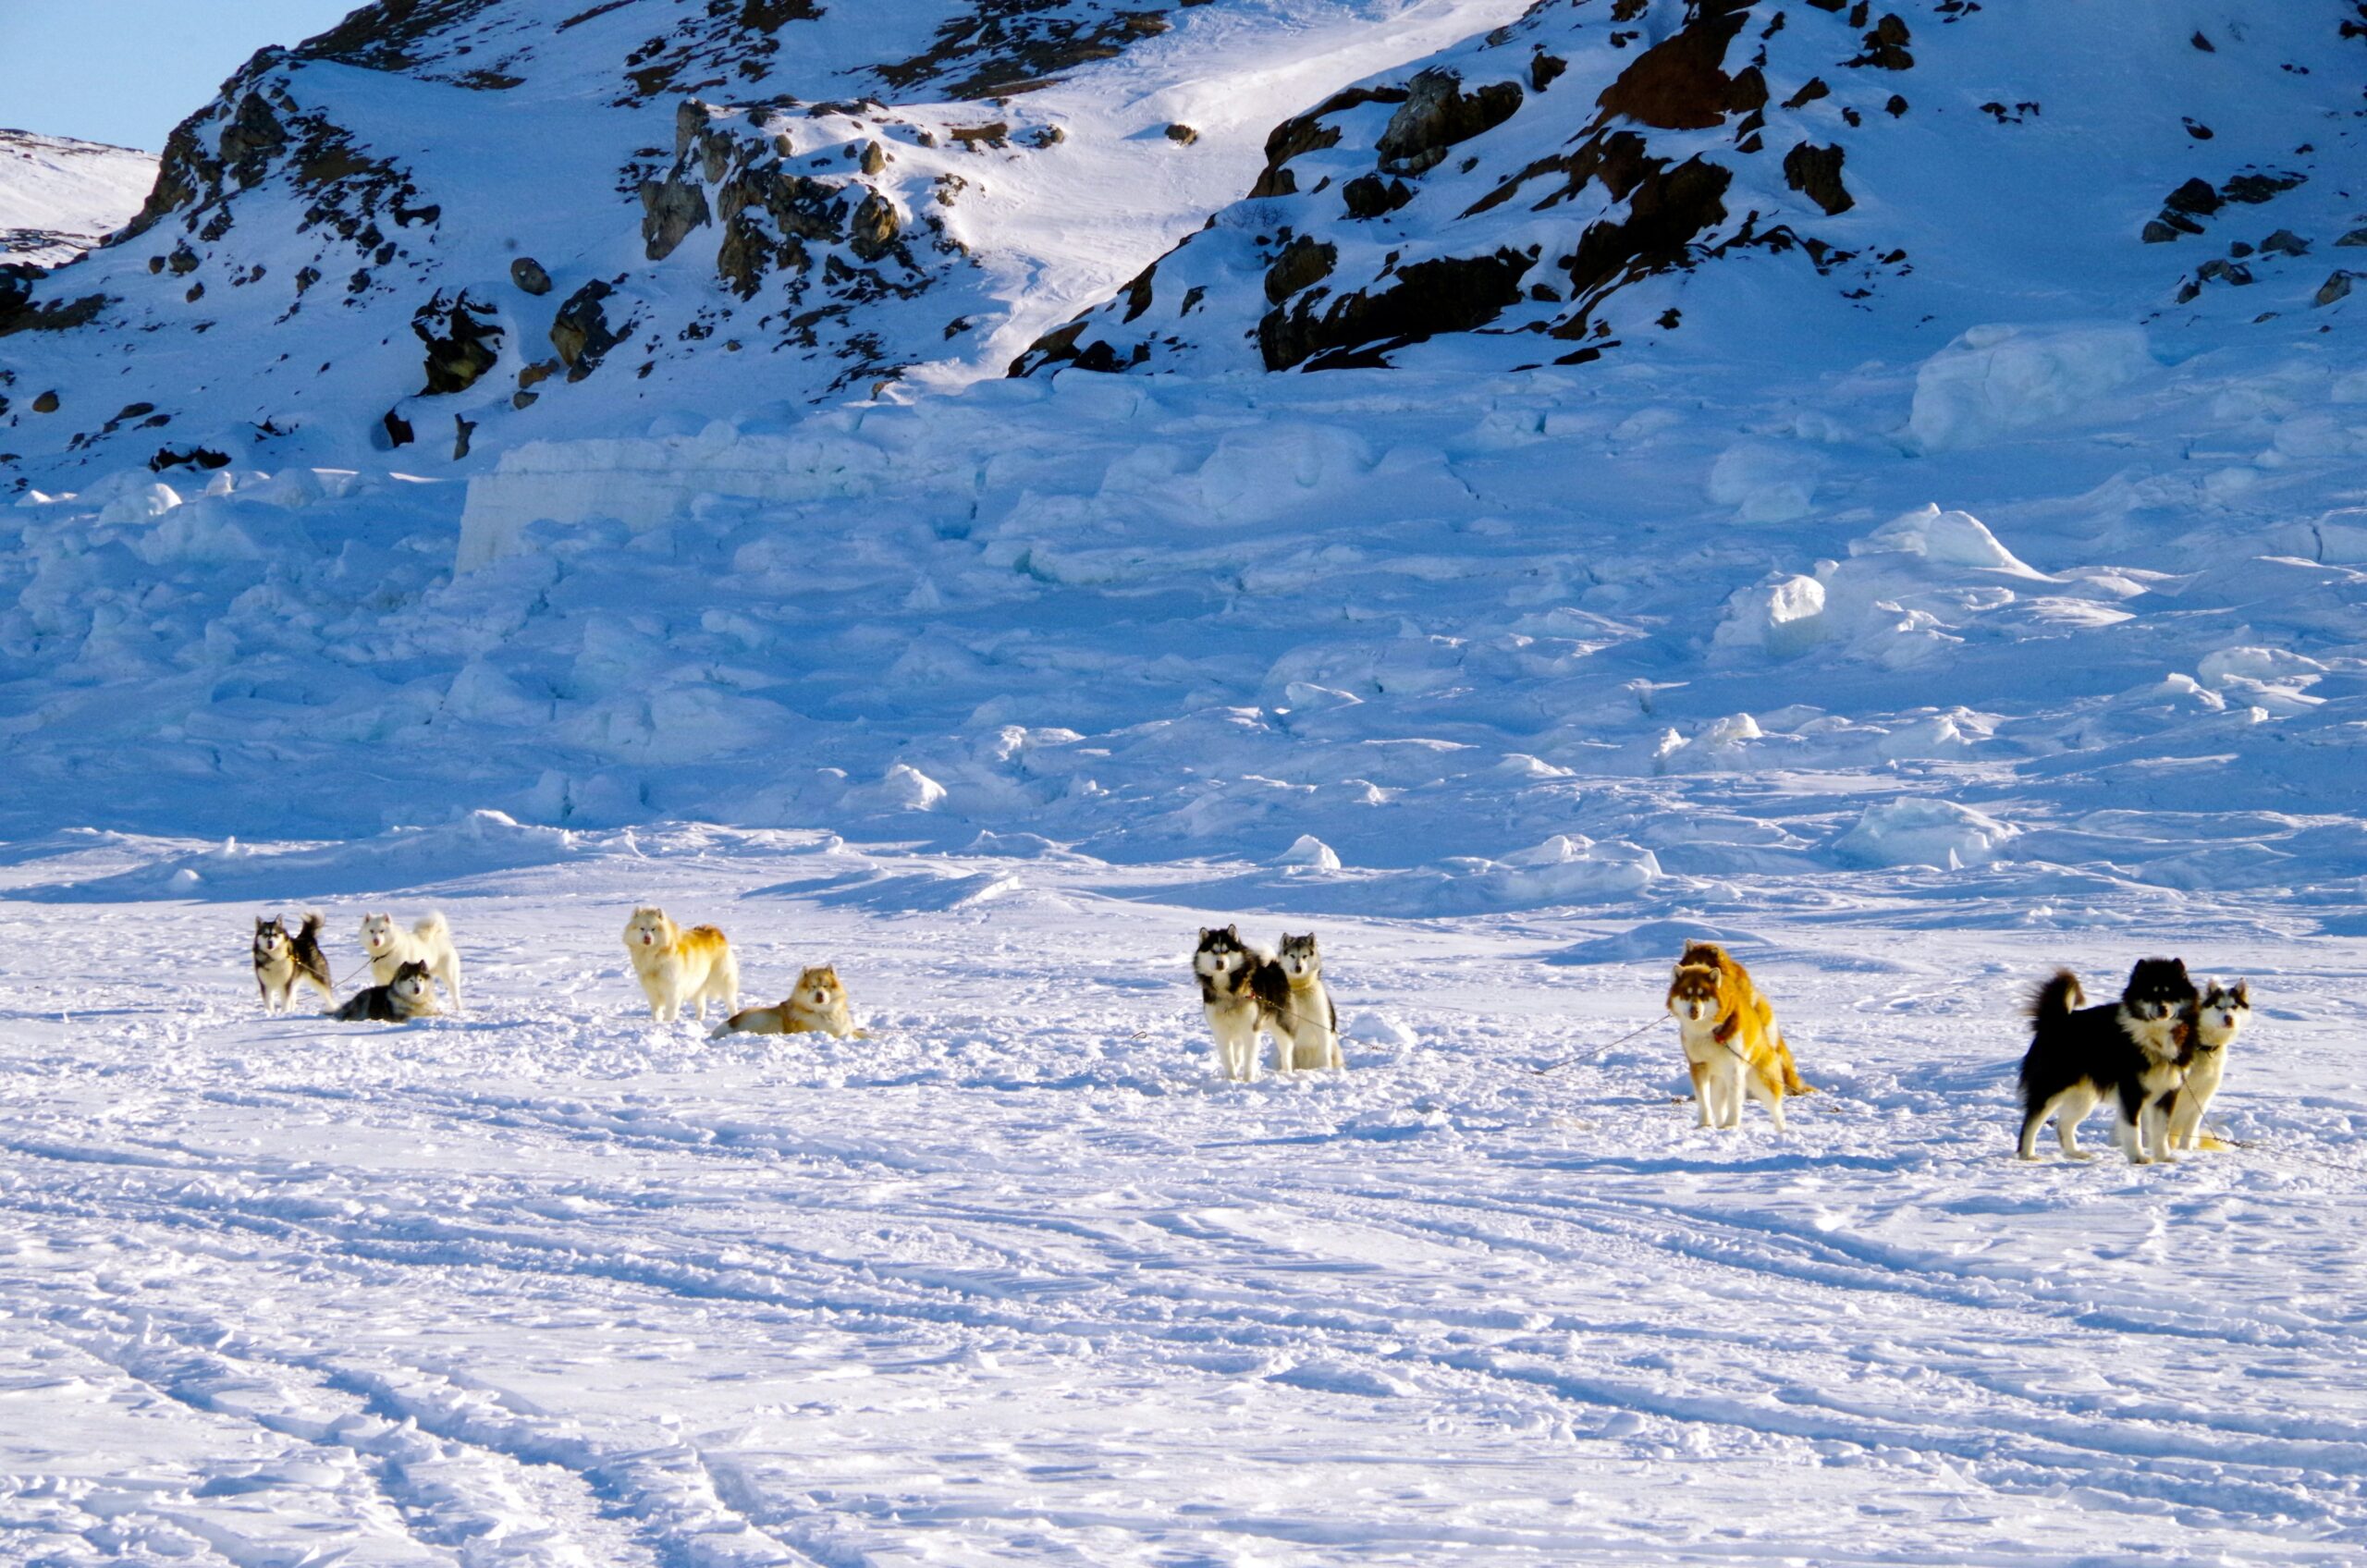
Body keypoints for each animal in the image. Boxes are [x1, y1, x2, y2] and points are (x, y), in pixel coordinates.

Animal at [619, 913, 738, 1027]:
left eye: (653, 929)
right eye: (642, 928)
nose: (647, 938)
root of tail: (716, 931)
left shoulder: (673, 989)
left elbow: (671, 1009)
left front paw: (669, 1022)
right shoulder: (652, 990)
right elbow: (656, 1010)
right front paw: (657, 1022)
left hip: (723, 979)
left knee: (731, 1002)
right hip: (698, 985)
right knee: (701, 1007)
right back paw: (699, 1020)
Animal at [719, 957, 880, 1042]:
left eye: (825, 986)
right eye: (813, 987)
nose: (820, 995)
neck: (823, 1012)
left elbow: (863, 1032)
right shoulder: (833, 1033)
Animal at [1666, 947, 1789, 1132]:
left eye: (1703, 994)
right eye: (1686, 994)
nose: (1694, 1010)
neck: (1708, 1031)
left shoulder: (1734, 1067)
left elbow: (1735, 1101)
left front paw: (1731, 1125)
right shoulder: (1698, 1066)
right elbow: (1703, 1100)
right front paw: (1704, 1124)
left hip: (1762, 1080)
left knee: (1776, 1110)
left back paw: (1781, 1131)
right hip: (1719, 1083)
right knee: (1718, 1106)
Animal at [2017, 957, 2196, 1165]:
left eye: (2171, 993)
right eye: (2149, 994)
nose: (2163, 1008)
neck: (2155, 1036)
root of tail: (2056, 1021)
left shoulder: (2167, 1093)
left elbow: (2161, 1131)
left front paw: (2163, 1157)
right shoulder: (2131, 1092)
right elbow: (2133, 1130)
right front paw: (2138, 1157)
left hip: (2083, 1097)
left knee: (2063, 1124)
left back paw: (2075, 1153)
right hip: (2051, 1088)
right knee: (2031, 1122)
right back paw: (2027, 1154)